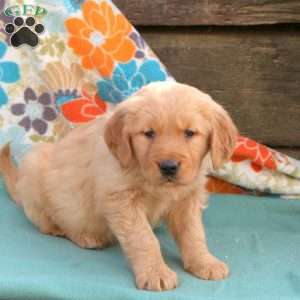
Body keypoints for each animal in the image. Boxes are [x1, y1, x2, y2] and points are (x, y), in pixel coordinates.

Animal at [0, 81, 239, 290]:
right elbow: (144, 239)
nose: (169, 167)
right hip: (34, 167)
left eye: (189, 133)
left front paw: (204, 261)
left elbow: (193, 233)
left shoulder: (188, 198)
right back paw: (81, 234)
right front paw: (156, 272)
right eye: (149, 133)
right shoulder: (122, 200)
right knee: (49, 221)